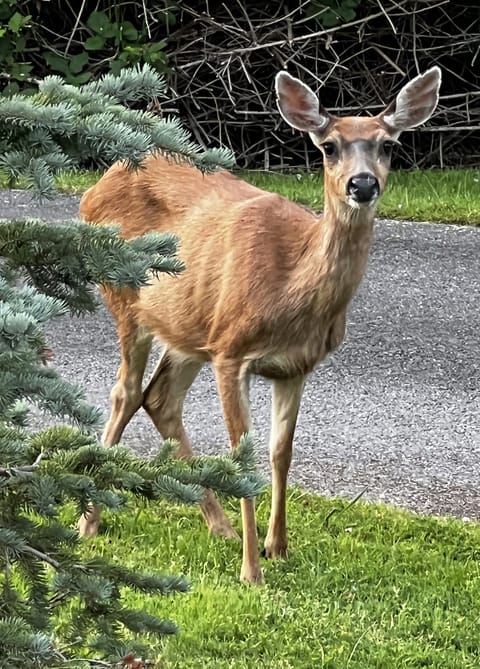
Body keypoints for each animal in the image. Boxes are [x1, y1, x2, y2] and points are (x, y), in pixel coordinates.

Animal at [78, 66, 441, 584]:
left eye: (388, 144)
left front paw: (278, 547)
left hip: (189, 328)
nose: (363, 184)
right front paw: (252, 571)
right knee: (125, 392)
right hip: (125, 297)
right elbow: (242, 456)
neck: (291, 287)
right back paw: (89, 523)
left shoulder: (295, 366)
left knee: (160, 398)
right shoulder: (232, 351)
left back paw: (220, 526)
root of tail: (96, 185)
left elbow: (280, 452)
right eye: (328, 146)